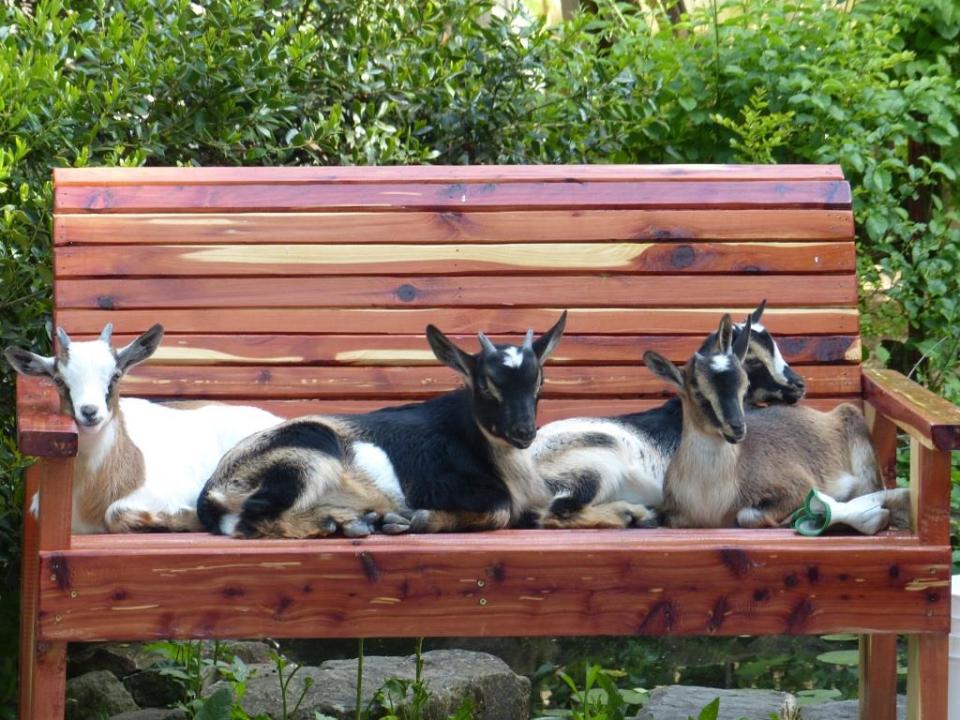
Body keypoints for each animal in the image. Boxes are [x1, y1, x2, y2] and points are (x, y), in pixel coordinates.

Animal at [196, 313, 569, 538]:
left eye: (539, 383)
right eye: (487, 387)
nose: (524, 432)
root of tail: (213, 491)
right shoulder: (434, 482)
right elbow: (500, 508)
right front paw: (417, 519)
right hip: (309, 452)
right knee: (253, 515)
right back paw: (345, 523)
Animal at [644, 313, 884, 529]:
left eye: (744, 386)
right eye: (698, 394)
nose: (737, 427)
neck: (710, 503)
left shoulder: (799, 486)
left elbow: (747, 515)